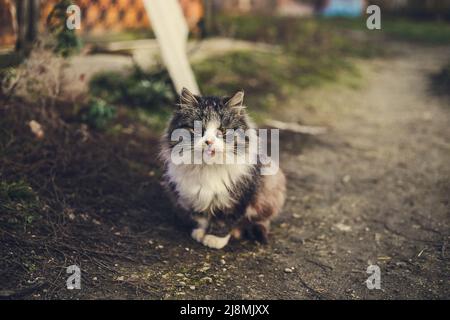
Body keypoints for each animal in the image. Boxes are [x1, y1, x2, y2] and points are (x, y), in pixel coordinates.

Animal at [161, 88, 284, 250]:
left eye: (222, 131)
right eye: (198, 130)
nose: (209, 142)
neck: (208, 167)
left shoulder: (237, 197)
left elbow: (224, 221)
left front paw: (214, 239)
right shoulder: (194, 197)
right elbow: (201, 218)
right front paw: (201, 233)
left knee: (260, 222)